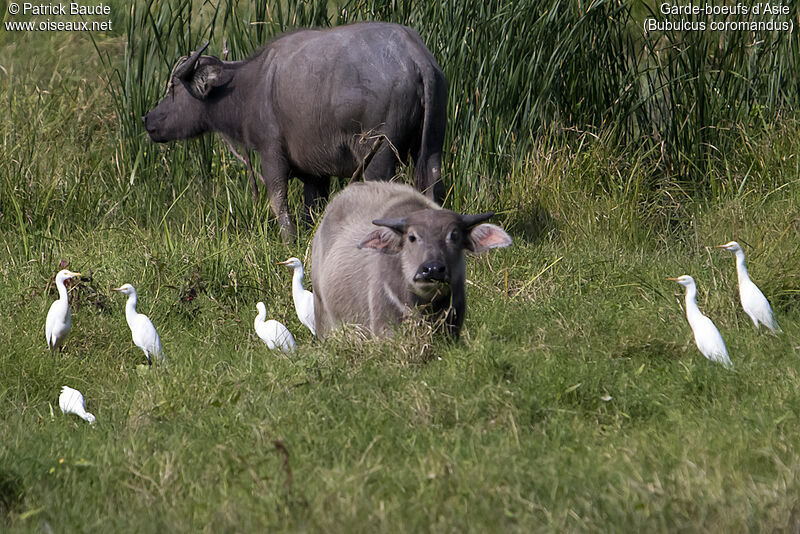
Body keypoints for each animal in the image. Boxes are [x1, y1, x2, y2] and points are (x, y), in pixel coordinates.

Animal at [141, 22, 446, 241]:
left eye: (173, 87)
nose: (147, 119)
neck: (250, 87)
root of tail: (415, 56)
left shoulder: (271, 152)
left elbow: (278, 201)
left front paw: (288, 240)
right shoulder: (316, 173)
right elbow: (313, 208)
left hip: (378, 155)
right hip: (431, 149)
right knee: (433, 191)